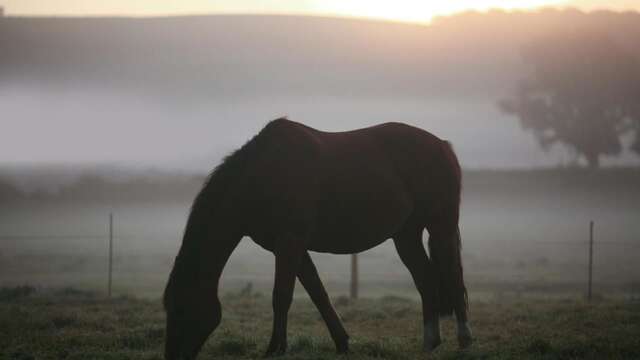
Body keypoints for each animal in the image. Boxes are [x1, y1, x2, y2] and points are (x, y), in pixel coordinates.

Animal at [162, 117, 472, 358]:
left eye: (181, 308)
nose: (172, 356)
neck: (263, 176)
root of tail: (442, 145)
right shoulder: (291, 248)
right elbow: (317, 293)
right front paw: (342, 343)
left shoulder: (290, 243)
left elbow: (281, 296)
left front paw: (274, 349)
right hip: (405, 235)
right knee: (426, 280)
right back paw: (429, 343)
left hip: (440, 226)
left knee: (454, 276)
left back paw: (464, 340)